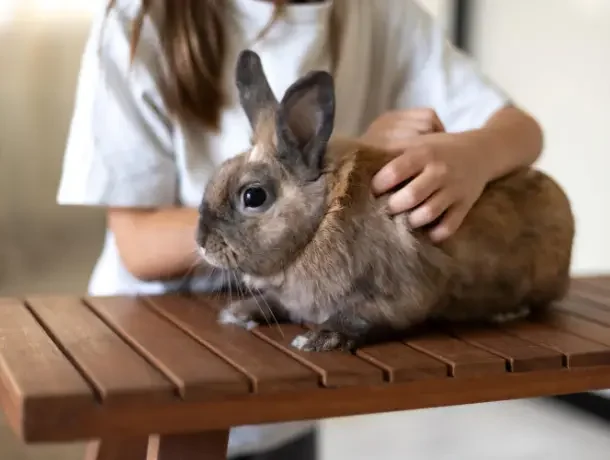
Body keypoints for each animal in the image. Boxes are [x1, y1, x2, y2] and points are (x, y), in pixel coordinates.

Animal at [196, 49, 576, 352]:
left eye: (253, 196)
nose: (200, 241)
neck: (321, 221)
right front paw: (239, 312)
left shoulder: (397, 297)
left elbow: (359, 319)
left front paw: (319, 339)